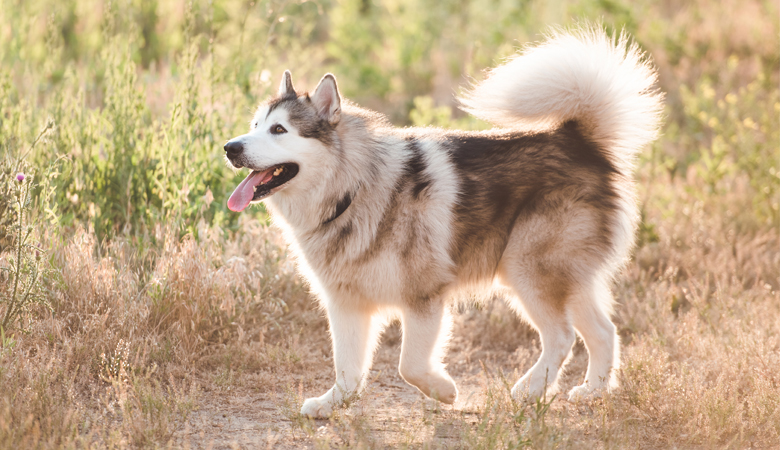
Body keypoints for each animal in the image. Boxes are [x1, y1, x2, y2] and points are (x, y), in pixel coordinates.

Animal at [222, 25, 660, 418]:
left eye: (279, 129)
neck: (352, 191)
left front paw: (444, 390)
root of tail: (577, 140)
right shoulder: (347, 304)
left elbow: (409, 365)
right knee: (603, 332)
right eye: (255, 126)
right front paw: (333, 405)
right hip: (564, 278)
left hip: (528, 270)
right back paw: (593, 392)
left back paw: (531, 389)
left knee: (562, 336)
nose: (230, 147)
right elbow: (348, 369)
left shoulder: (424, 297)